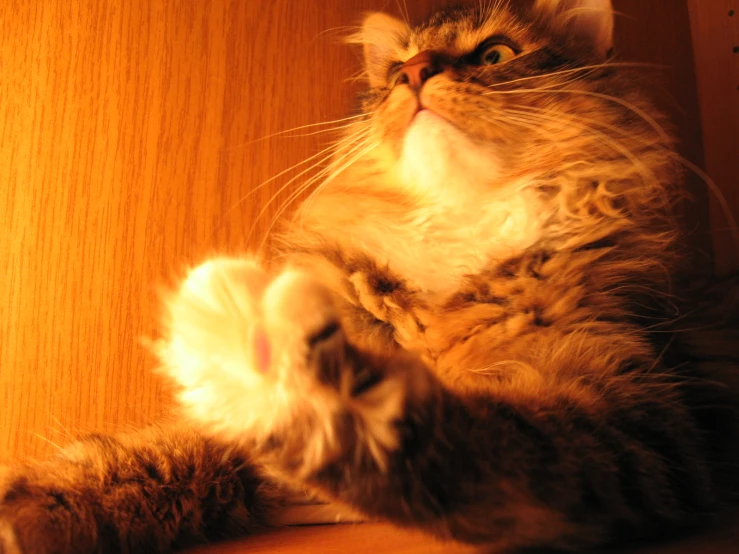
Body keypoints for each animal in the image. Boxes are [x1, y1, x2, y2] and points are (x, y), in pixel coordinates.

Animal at [1, 0, 739, 548]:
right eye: (393, 72)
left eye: (494, 55)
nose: (415, 73)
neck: (456, 227)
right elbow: (154, 453)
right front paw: (31, 511)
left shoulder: (640, 418)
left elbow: (488, 435)